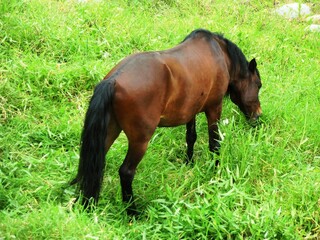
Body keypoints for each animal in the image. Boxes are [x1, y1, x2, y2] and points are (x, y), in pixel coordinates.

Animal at [72, 28, 262, 214]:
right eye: (258, 85)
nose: (258, 117)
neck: (220, 54)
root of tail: (114, 80)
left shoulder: (190, 110)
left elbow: (191, 137)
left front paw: (189, 163)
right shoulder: (214, 108)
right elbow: (214, 144)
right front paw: (216, 171)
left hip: (110, 131)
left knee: (94, 163)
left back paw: (87, 203)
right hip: (140, 141)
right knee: (126, 172)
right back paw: (132, 211)